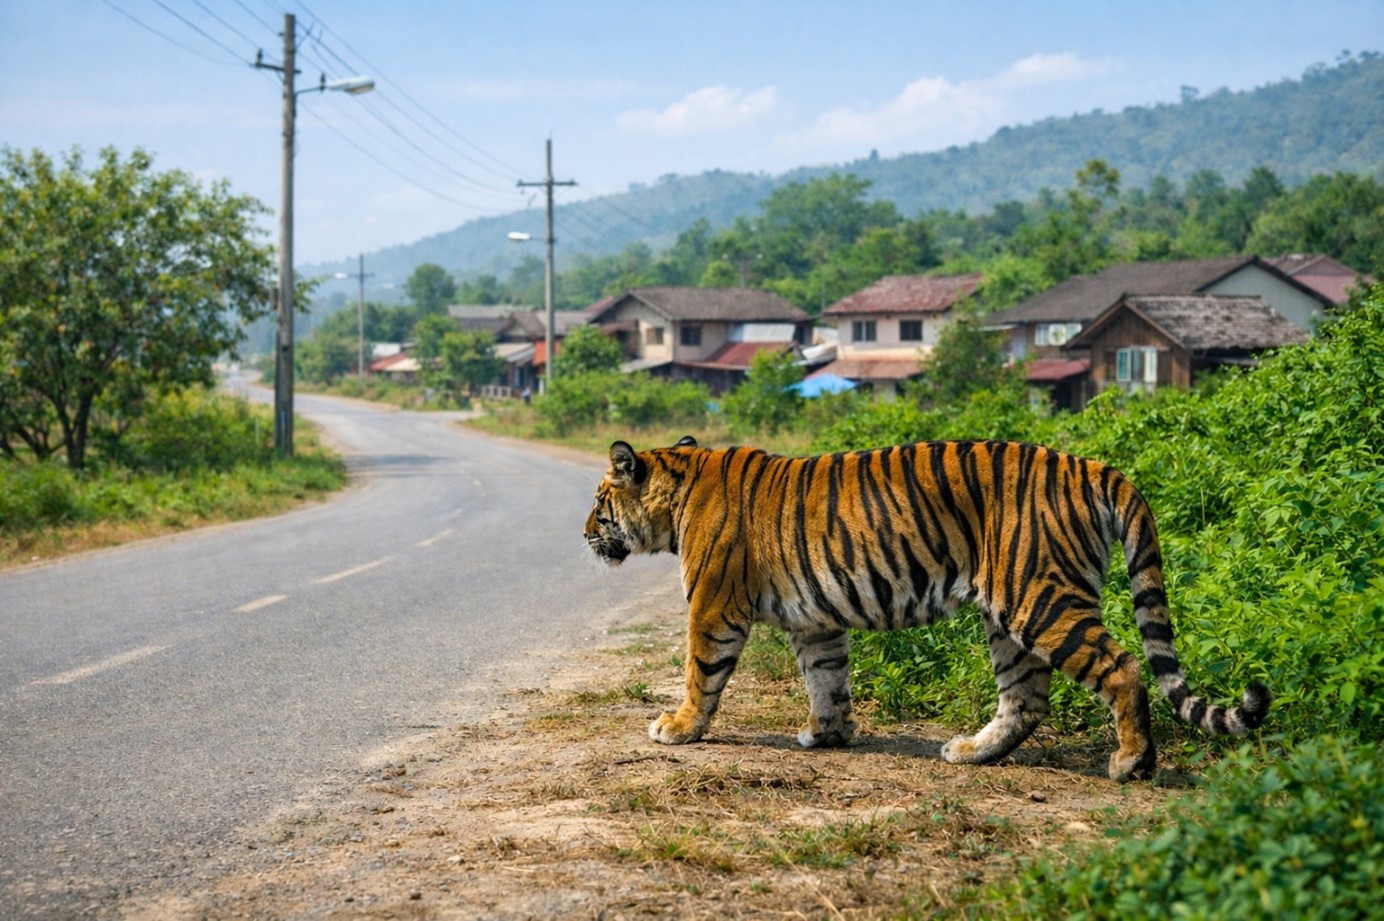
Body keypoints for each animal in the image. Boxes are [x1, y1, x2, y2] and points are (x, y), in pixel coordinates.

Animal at [583, 436, 1270, 781]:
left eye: (598, 502)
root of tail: (1092, 465)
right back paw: (971, 753)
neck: (677, 491)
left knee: (1122, 668)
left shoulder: (714, 603)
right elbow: (826, 679)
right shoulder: (817, 622)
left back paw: (1130, 762)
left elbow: (701, 672)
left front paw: (678, 727)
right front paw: (827, 735)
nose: (584, 532)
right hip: (1009, 613)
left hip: (1040, 598)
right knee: (1026, 699)